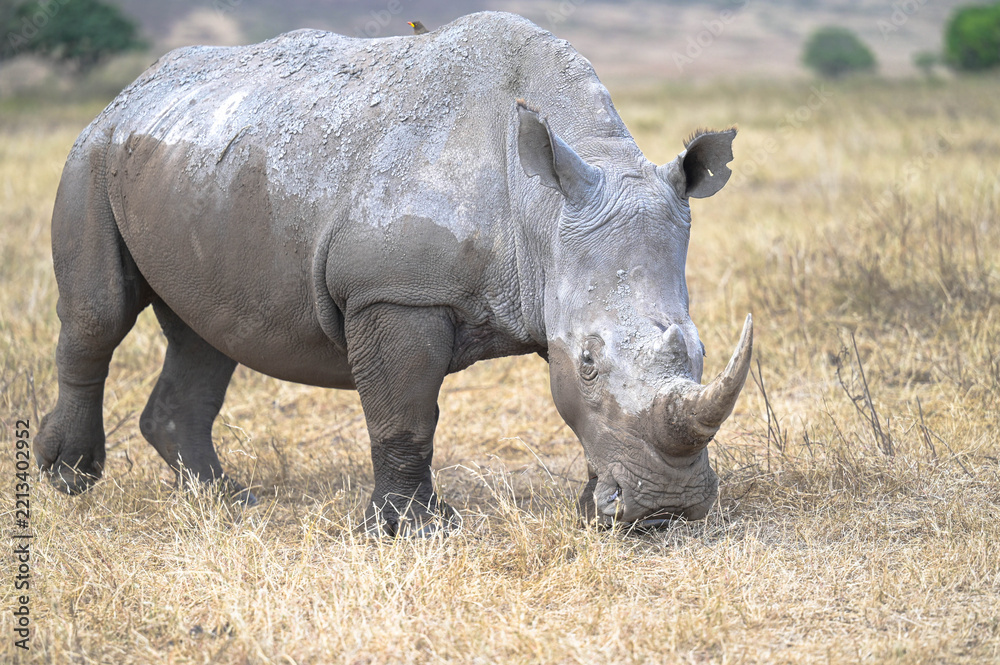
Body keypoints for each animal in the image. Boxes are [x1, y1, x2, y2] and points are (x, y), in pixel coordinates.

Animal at [36, 11, 752, 535]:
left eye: (700, 351)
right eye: (589, 363)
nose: (667, 508)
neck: (544, 210)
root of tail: (130, 92)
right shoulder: (395, 294)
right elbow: (405, 414)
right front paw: (414, 530)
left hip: (190, 161)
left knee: (204, 333)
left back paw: (229, 501)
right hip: (93, 153)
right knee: (100, 313)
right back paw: (68, 479)